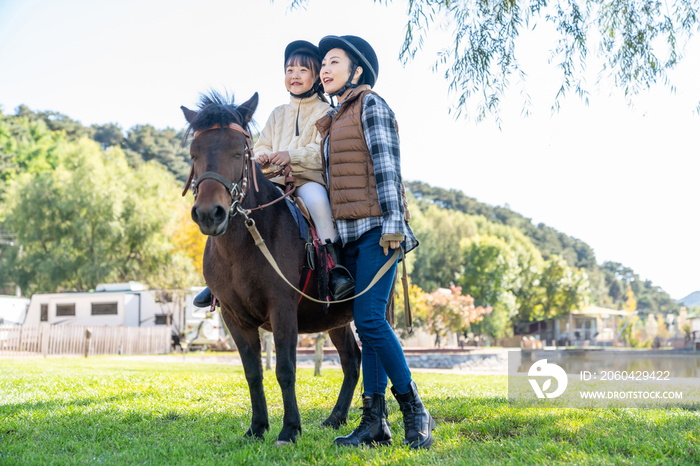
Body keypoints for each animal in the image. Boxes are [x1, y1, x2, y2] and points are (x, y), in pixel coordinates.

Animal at [180, 91, 364, 444]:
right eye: (194, 153)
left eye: (239, 150)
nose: (210, 213)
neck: (244, 245)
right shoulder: (233, 317)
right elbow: (253, 372)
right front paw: (257, 427)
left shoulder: (282, 308)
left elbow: (285, 369)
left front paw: (290, 429)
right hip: (336, 319)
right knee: (352, 360)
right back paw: (335, 418)